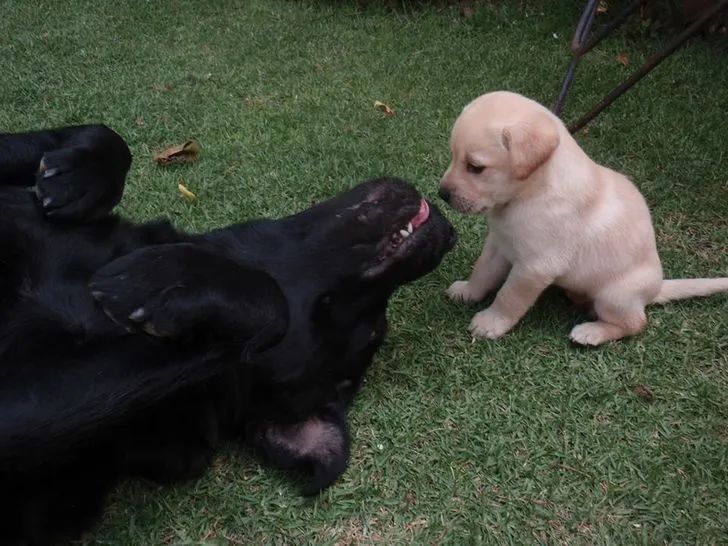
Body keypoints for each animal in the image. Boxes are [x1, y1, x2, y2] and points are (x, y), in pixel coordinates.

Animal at [0, 125, 456, 540]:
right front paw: (75, 175)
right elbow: (105, 135)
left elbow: (272, 304)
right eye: (377, 329)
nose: (444, 239)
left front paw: (161, 280)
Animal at [438, 90, 728, 344]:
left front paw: (490, 322)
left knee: (635, 323)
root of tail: (655, 290)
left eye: (475, 167)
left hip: (615, 295)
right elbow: (483, 271)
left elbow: (509, 297)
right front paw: (468, 291)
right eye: (452, 155)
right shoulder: (499, 243)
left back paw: (591, 333)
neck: (530, 192)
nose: (442, 194)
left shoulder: (535, 266)